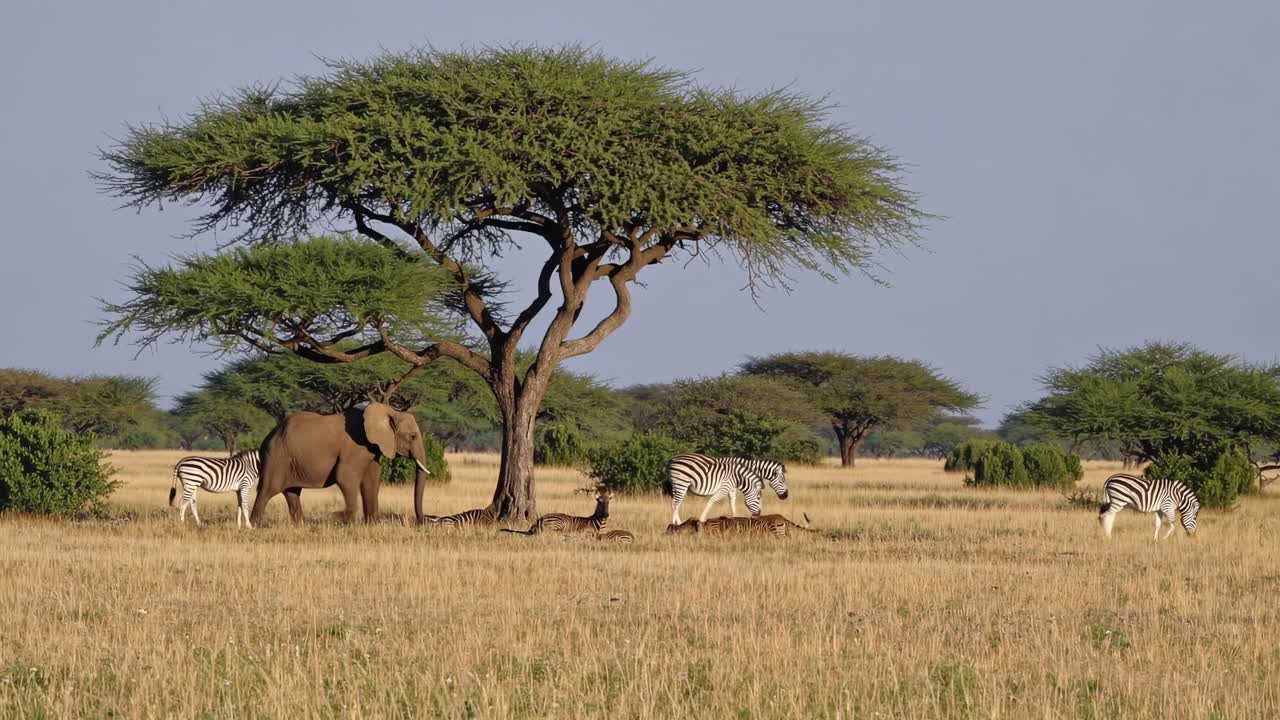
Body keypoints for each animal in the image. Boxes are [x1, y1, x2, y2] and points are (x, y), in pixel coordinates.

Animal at [249, 402, 431, 526]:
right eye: (413, 436)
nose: (424, 520)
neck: (389, 411)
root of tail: (269, 435)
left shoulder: (372, 449)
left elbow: (371, 482)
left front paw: (372, 524)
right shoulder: (354, 447)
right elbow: (345, 478)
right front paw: (337, 518)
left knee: (292, 493)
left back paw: (301, 525)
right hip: (276, 457)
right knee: (267, 490)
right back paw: (254, 525)